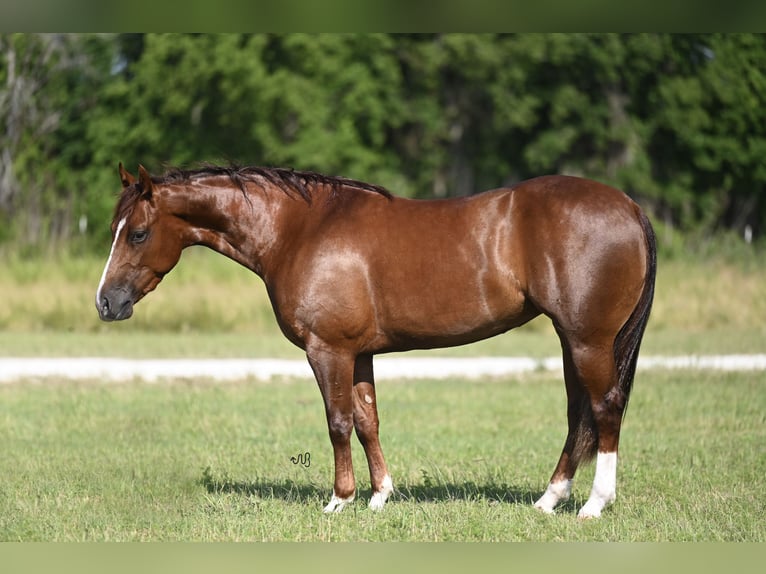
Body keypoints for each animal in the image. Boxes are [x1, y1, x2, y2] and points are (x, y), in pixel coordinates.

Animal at [96, 163, 656, 520]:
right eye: (114, 228)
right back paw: (548, 500)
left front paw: (339, 500)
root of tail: (630, 205)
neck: (300, 229)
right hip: (571, 341)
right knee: (579, 415)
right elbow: (368, 422)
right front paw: (379, 496)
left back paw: (593, 505)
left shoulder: (329, 350)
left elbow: (338, 422)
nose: (106, 303)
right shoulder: (359, 353)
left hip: (587, 340)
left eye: (137, 233)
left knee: (604, 408)